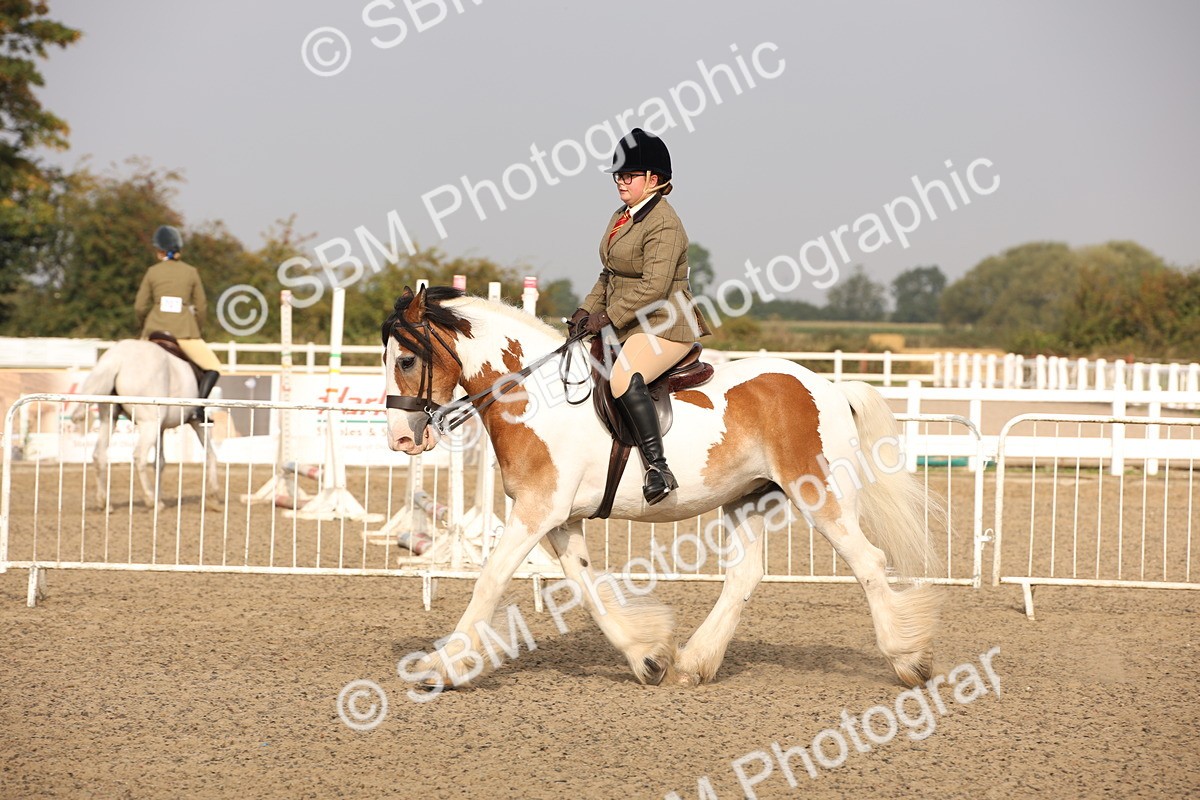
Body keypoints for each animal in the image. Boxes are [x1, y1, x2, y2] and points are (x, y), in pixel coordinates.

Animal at [70, 339, 221, 512]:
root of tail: (117, 358)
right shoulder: (196, 422)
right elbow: (210, 454)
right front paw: (213, 496)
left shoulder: (161, 428)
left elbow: (160, 462)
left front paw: (160, 496)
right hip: (149, 424)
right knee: (139, 456)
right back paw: (151, 500)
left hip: (110, 419)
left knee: (99, 454)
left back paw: (105, 503)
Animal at [381, 286, 943, 688]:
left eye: (406, 360)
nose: (401, 439)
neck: (534, 396)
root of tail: (829, 387)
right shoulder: (559, 519)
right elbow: (587, 588)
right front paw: (647, 657)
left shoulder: (538, 512)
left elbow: (491, 578)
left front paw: (442, 667)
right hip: (745, 498)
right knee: (745, 575)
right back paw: (695, 662)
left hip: (819, 494)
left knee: (867, 561)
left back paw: (908, 661)